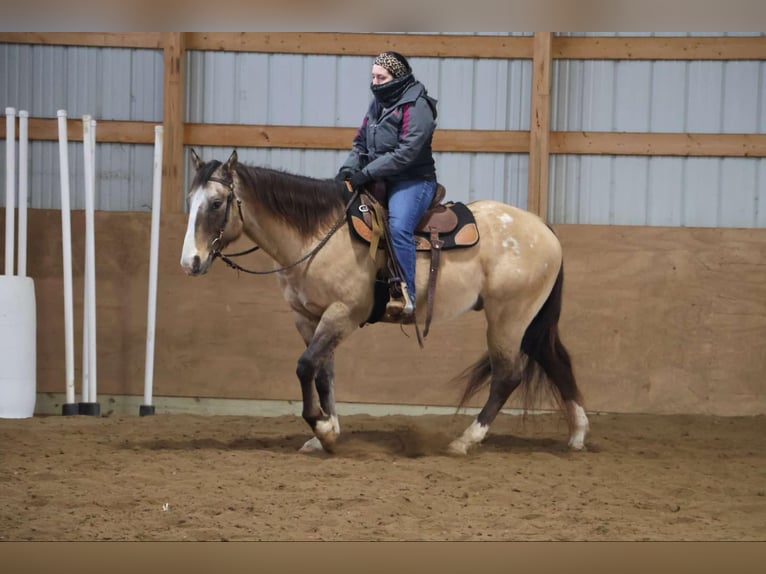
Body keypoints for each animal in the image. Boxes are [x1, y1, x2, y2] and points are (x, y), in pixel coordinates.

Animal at [182, 151, 592, 456]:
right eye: (190, 202)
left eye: (216, 203)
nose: (190, 262)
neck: (317, 234)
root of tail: (542, 227)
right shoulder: (307, 317)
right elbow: (323, 372)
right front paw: (327, 432)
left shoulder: (343, 314)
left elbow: (305, 366)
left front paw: (323, 428)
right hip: (526, 321)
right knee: (555, 360)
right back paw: (577, 435)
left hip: (508, 319)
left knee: (507, 376)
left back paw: (465, 441)